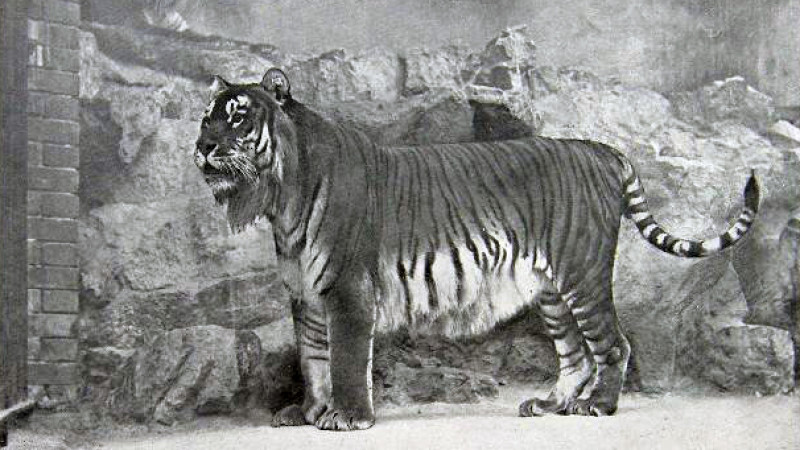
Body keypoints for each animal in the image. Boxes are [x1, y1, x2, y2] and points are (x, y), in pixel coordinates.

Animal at [193, 67, 760, 431]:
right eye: (206, 118)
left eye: (238, 117)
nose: (202, 147)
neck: (281, 197)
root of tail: (600, 149)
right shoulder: (305, 294)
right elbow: (312, 358)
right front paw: (308, 412)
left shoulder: (347, 290)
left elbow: (346, 359)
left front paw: (348, 418)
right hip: (552, 291)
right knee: (574, 354)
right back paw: (549, 405)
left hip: (583, 274)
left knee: (613, 345)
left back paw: (597, 406)